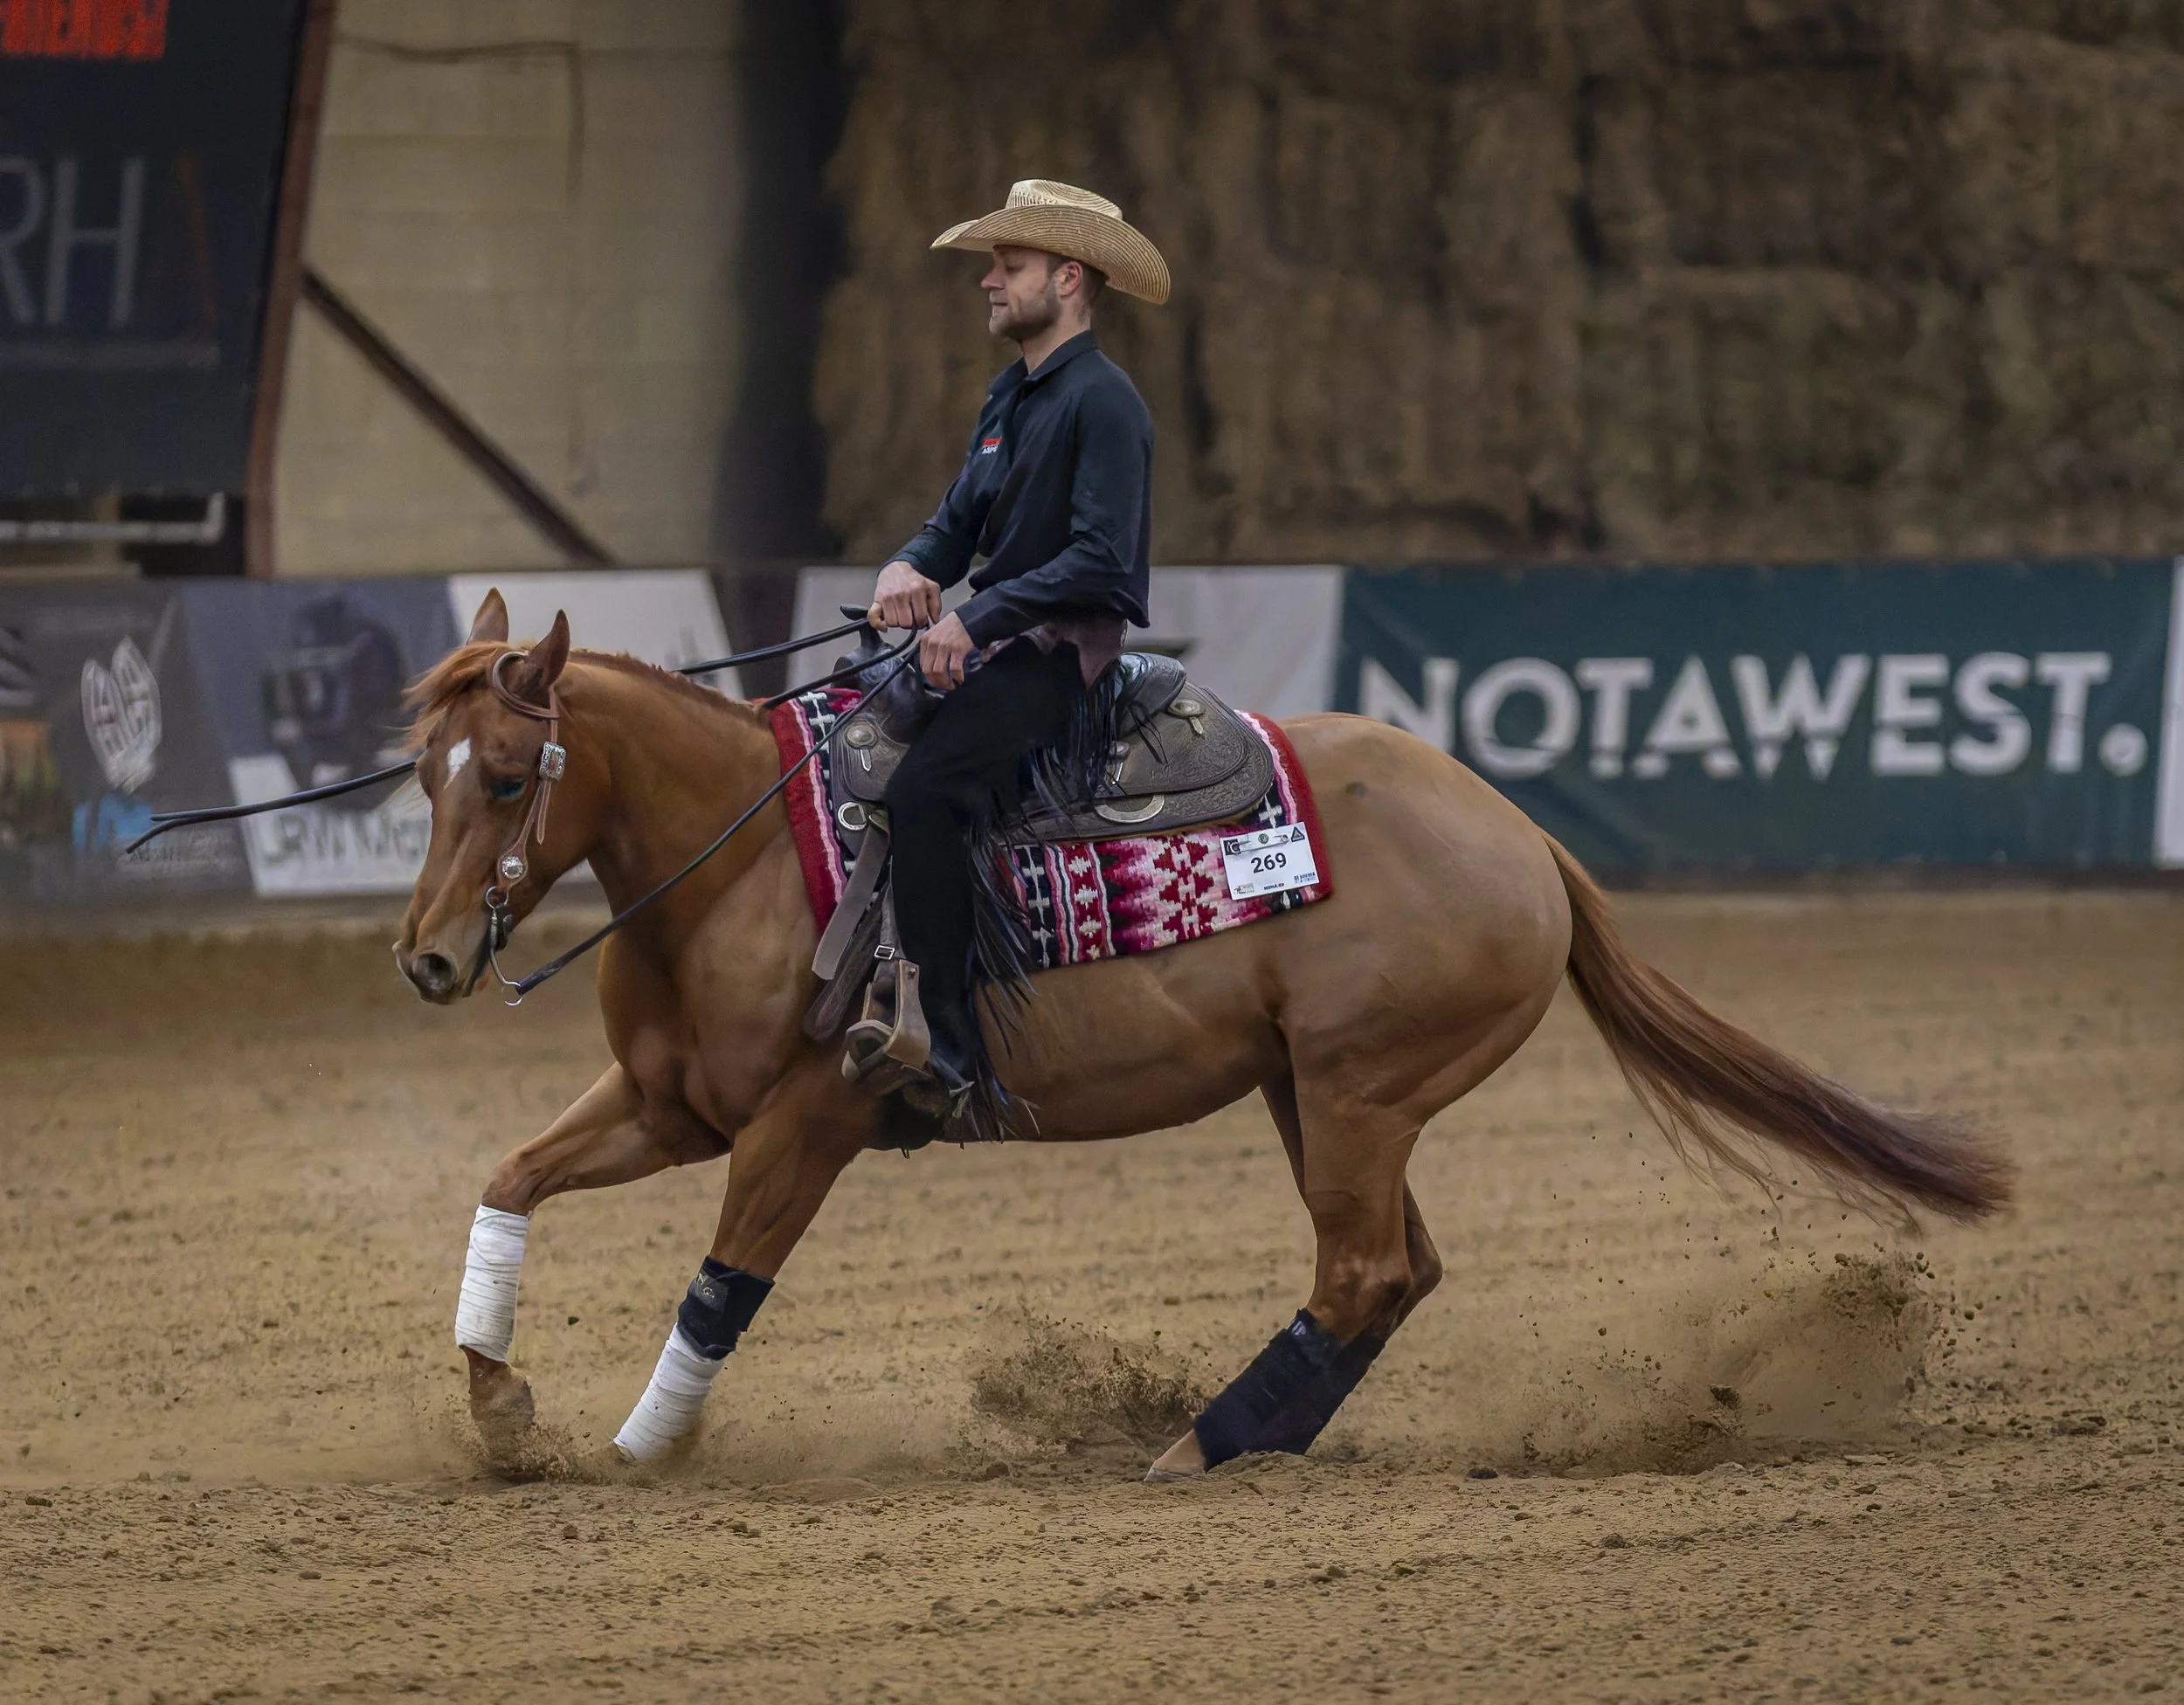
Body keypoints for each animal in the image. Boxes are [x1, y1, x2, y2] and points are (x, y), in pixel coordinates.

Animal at [395, 590, 2010, 1476]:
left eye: (505, 775)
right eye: (419, 772)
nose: (425, 959)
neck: (738, 867)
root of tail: (1527, 838)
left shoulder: (809, 1122)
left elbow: (719, 1291)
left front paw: (637, 1455)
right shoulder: (667, 1103)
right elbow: (507, 1178)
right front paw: (501, 1411)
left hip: (1360, 1092)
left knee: (1362, 1271)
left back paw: (1200, 1444)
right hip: (1315, 1094)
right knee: (1397, 1271)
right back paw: (1244, 1441)